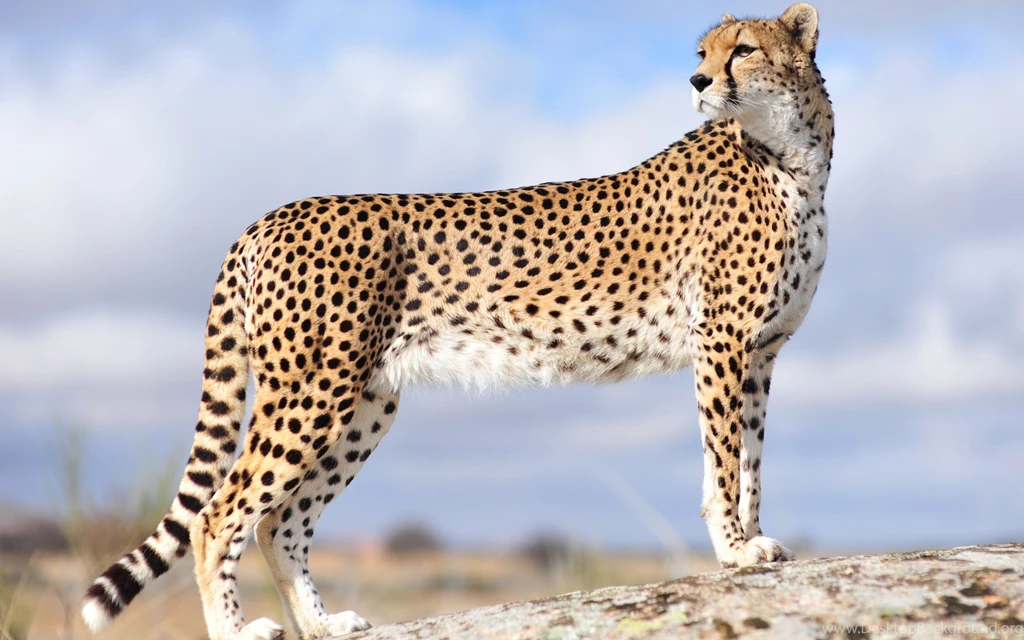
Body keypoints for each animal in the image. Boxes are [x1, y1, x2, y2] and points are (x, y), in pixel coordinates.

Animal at [82, 4, 833, 639]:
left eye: (742, 49)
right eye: (703, 52)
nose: (698, 80)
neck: (792, 155)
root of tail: (269, 216)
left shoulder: (760, 351)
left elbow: (747, 459)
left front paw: (752, 543)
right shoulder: (723, 343)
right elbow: (725, 459)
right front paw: (734, 551)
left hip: (365, 402)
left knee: (281, 522)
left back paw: (322, 624)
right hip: (312, 389)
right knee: (219, 515)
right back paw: (238, 630)